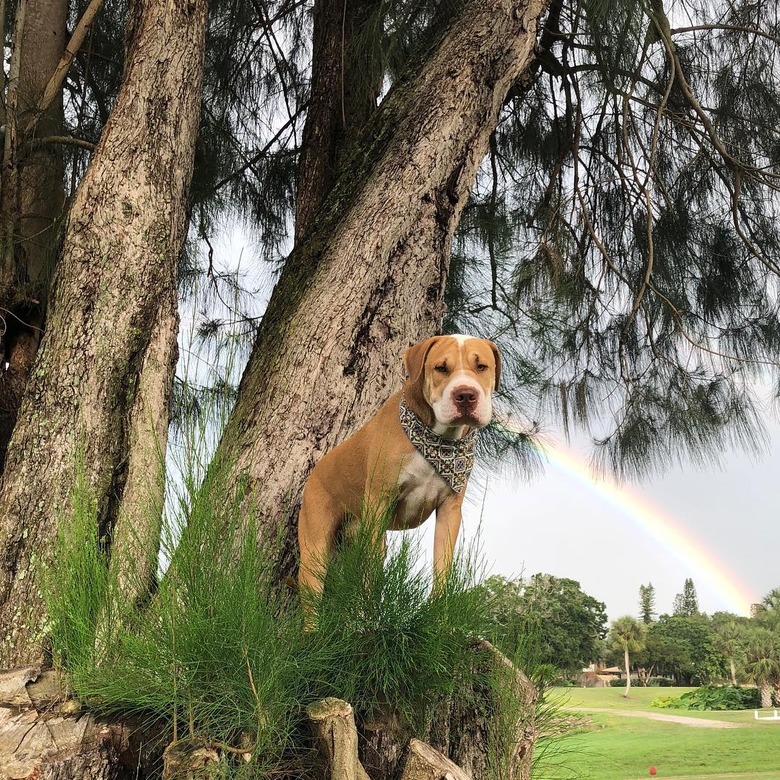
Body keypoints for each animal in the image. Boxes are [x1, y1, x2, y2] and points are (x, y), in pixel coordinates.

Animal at [296, 336, 502, 604]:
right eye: (441, 368)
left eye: (481, 367)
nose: (465, 394)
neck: (439, 441)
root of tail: (315, 473)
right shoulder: (379, 502)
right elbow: (370, 571)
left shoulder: (450, 509)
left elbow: (442, 566)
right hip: (315, 547)